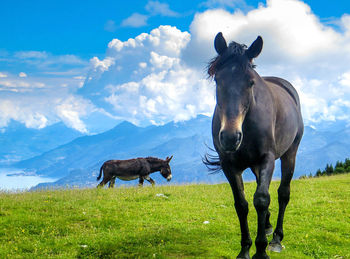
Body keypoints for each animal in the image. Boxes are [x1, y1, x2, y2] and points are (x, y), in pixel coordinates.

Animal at [205, 32, 304, 259]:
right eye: (218, 80)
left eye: (250, 82)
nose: (230, 137)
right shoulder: (229, 165)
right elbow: (241, 204)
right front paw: (244, 249)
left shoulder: (267, 158)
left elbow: (261, 199)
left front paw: (261, 250)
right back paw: (267, 226)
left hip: (289, 153)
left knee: (283, 193)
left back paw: (276, 238)